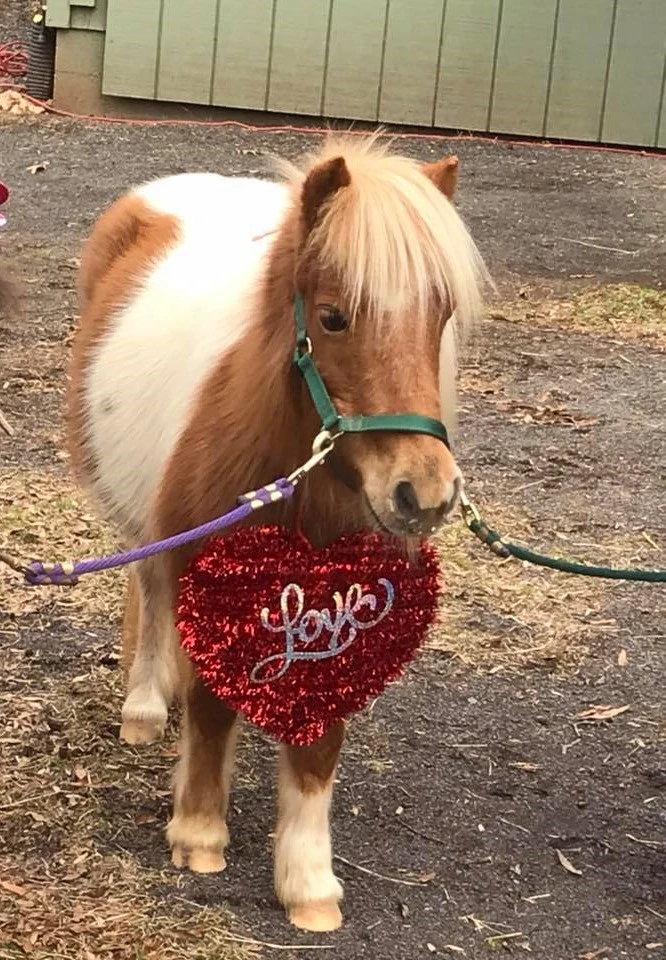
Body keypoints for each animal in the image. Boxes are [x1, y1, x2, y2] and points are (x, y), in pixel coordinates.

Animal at [66, 135, 487, 932]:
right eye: (332, 317)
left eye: (441, 314)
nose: (424, 494)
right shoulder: (208, 571)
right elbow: (210, 710)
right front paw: (199, 833)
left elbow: (321, 744)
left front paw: (310, 881)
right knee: (149, 588)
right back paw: (144, 707)